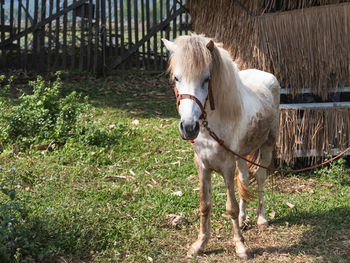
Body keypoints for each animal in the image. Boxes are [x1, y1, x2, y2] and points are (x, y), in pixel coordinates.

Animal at [163, 34, 280, 260]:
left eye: (206, 79)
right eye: (176, 78)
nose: (189, 127)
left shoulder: (227, 167)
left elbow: (230, 207)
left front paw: (241, 246)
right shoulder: (202, 166)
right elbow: (205, 204)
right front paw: (200, 244)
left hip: (268, 144)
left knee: (260, 177)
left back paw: (261, 218)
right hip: (242, 154)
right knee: (245, 178)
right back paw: (243, 220)